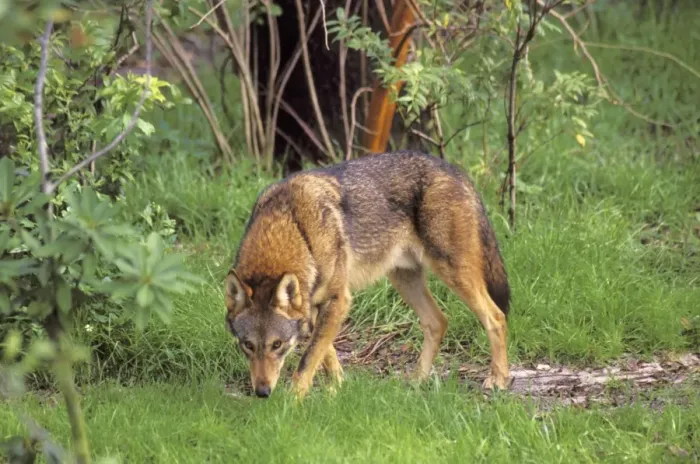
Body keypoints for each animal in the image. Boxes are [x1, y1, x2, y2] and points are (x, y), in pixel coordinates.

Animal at [224, 151, 511, 399]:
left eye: (277, 345)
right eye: (248, 345)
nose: (262, 392)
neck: (295, 227)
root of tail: (454, 169)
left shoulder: (339, 300)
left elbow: (307, 360)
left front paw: (292, 403)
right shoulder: (317, 307)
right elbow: (325, 355)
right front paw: (338, 389)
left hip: (453, 273)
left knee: (496, 317)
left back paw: (498, 379)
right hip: (404, 280)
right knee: (438, 321)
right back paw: (417, 380)